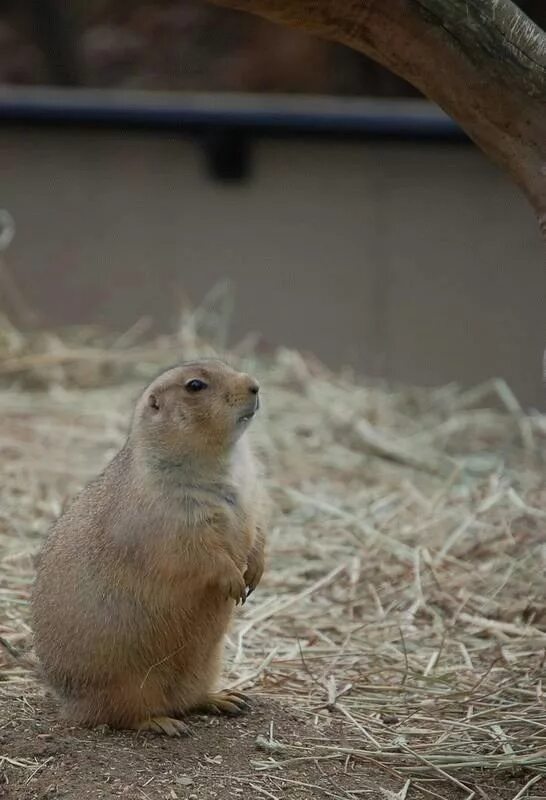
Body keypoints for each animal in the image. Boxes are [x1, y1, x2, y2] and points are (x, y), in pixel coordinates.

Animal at [31, 362, 266, 736]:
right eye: (195, 385)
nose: (255, 385)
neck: (220, 460)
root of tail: (69, 705)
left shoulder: (251, 489)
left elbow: (257, 526)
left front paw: (255, 569)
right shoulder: (168, 512)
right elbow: (195, 551)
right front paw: (233, 580)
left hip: (205, 666)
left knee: (188, 699)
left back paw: (226, 699)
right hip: (127, 684)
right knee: (122, 715)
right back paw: (164, 723)